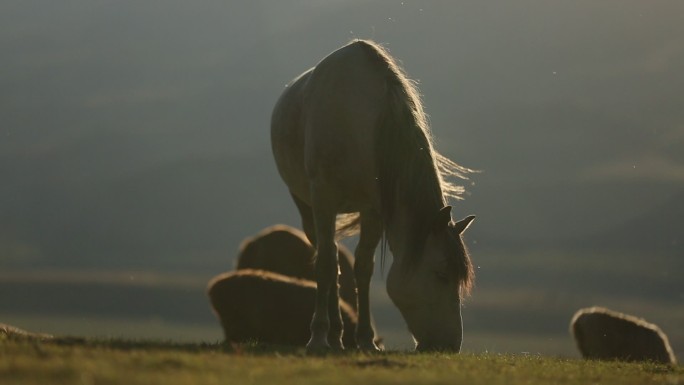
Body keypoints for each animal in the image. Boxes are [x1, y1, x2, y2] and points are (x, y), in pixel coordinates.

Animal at [272, 39, 476, 352]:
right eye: (441, 274)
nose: (451, 346)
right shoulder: (323, 197)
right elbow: (325, 265)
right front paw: (317, 337)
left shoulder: (373, 209)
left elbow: (363, 268)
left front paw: (366, 340)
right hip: (306, 205)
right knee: (328, 257)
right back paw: (330, 335)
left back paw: (338, 337)